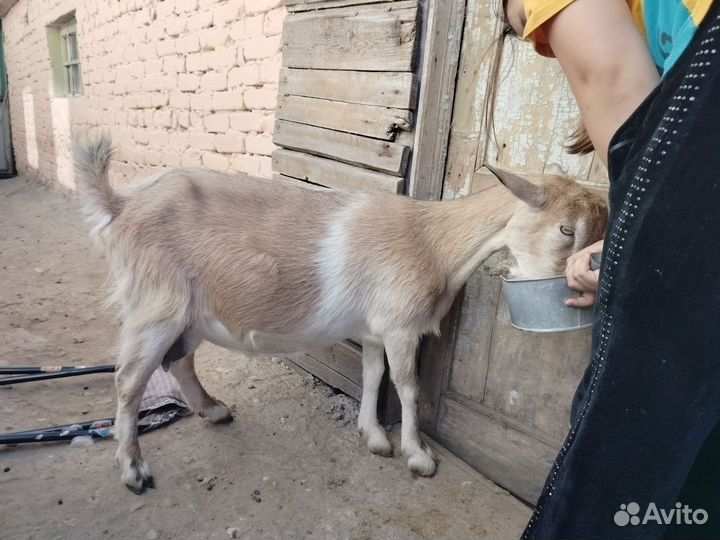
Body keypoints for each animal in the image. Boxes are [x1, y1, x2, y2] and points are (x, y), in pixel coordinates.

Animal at [74, 135, 608, 494]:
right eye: (565, 229)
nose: (576, 287)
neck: (434, 243)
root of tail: (120, 204)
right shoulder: (400, 325)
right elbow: (407, 386)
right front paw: (417, 455)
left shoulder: (374, 330)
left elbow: (372, 375)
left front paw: (373, 437)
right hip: (155, 305)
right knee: (129, 380)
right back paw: (134, 470)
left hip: (190, 313)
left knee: (179, 361)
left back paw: (214, 410)